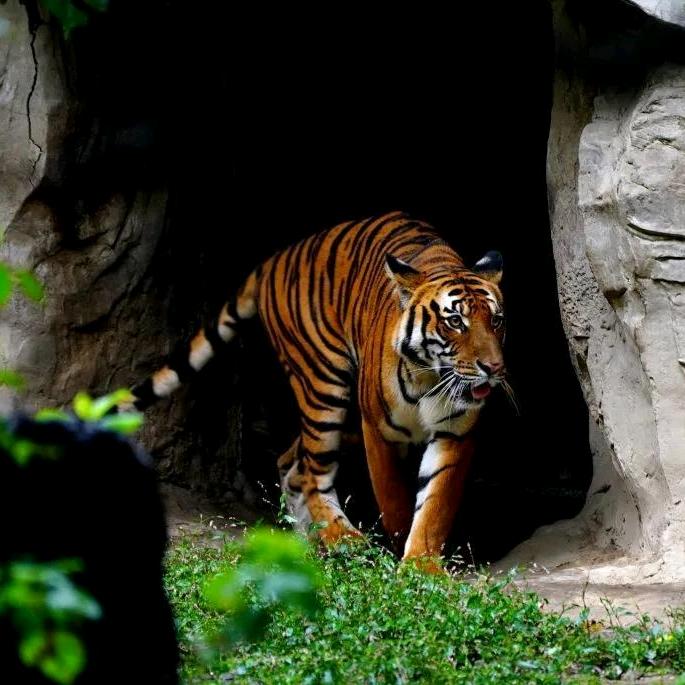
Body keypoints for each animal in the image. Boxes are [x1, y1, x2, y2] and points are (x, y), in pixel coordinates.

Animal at [128, 211, 506, 564]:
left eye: (496, 320)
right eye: (454, 322)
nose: (493, 368)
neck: (431, 377)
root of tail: (276, 258)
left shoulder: (455, 433)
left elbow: (435, 505)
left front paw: (421, 566)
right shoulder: (377, 429)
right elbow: (393, 498)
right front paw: (400, 548)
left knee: (292, 462)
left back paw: (308, 540)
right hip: (324, 387)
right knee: (312, 471)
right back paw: (344, 539)